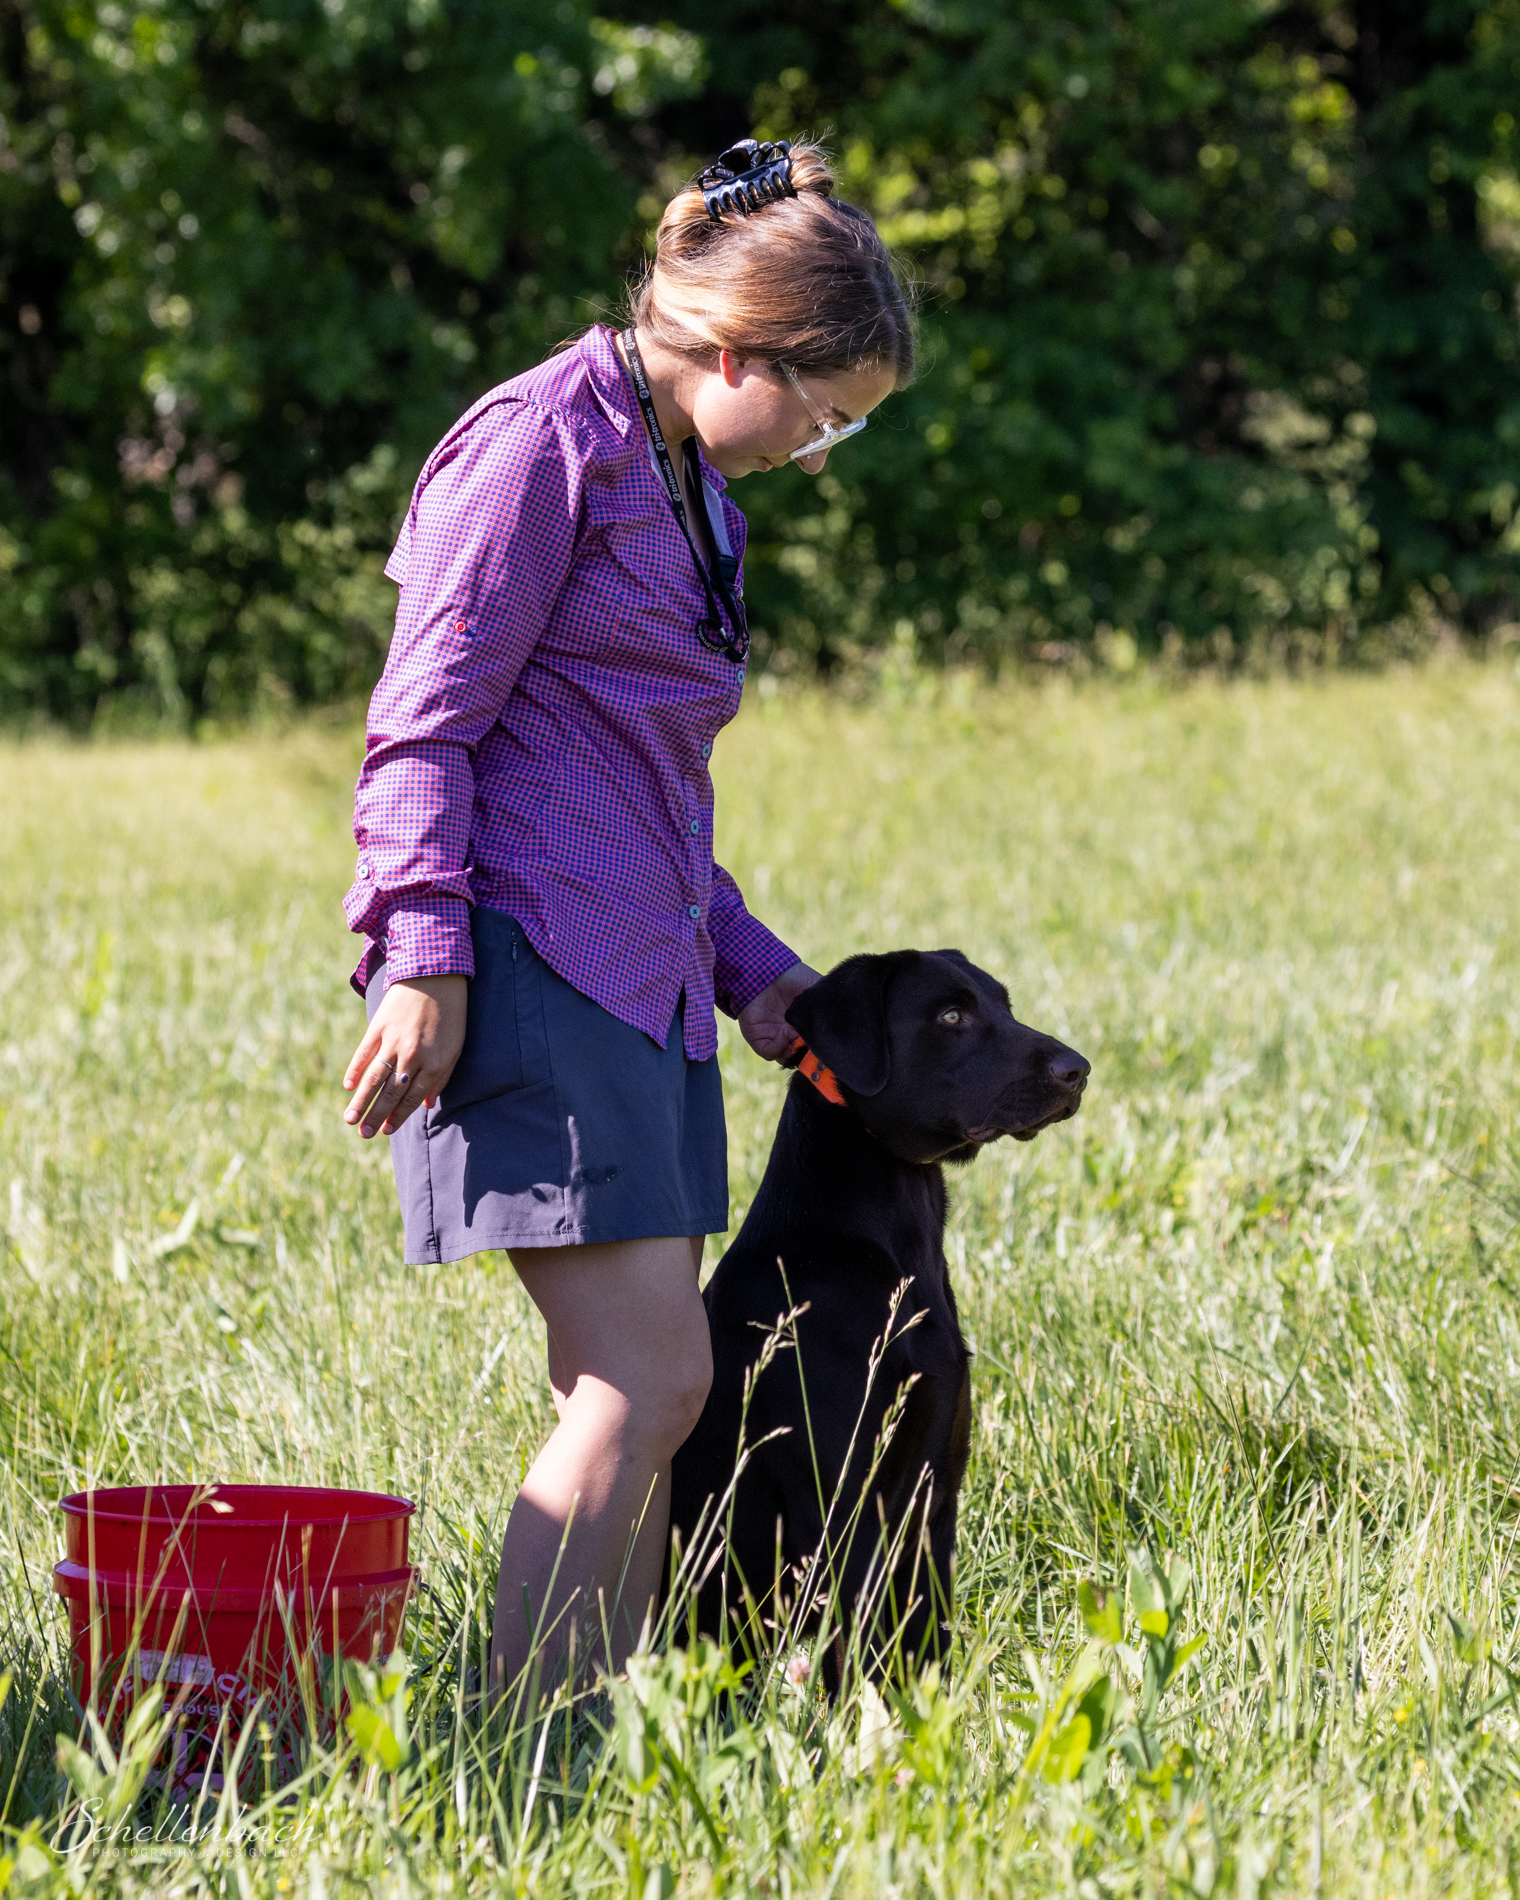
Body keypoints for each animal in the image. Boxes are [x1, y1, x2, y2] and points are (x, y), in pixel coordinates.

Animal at [667, 949, 1089, 1684]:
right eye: (950, 1016)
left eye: (1004, 1004)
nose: (1078, 1069)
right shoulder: (843, 1507)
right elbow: (861, 1656)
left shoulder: (934, 1496)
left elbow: (924, 1646)